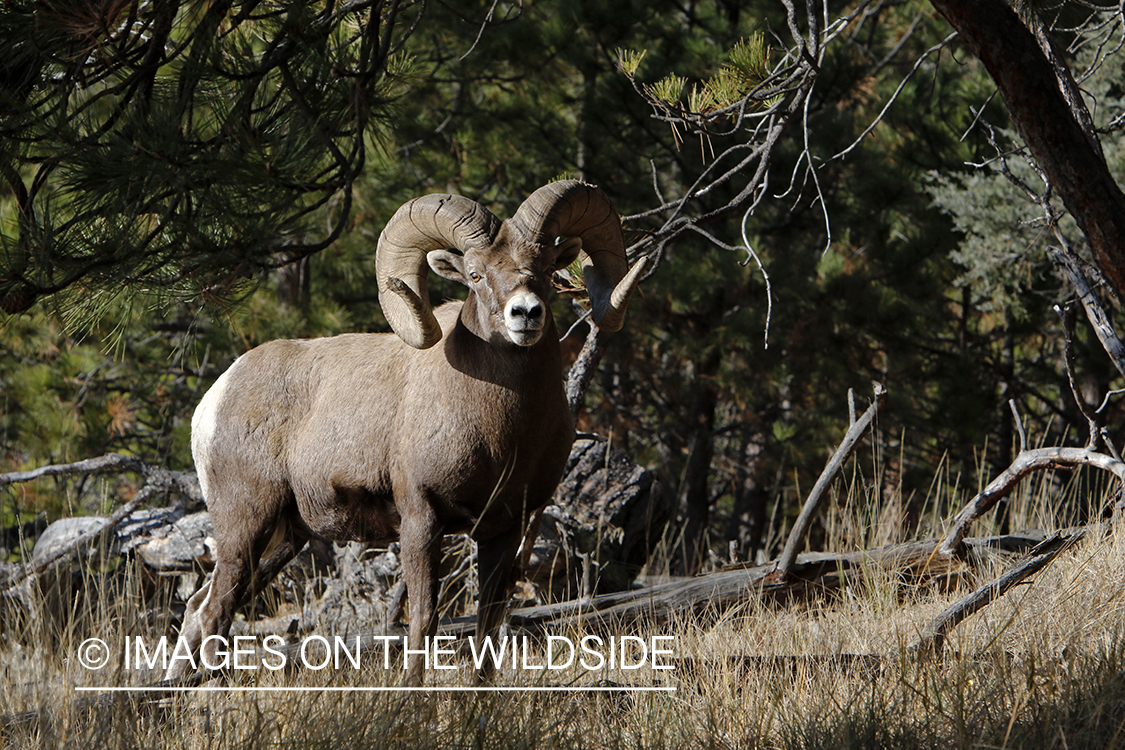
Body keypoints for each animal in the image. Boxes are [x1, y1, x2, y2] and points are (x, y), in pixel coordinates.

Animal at [166, 180, 646, 684]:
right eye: (475, 274)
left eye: (548, 268)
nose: (526, 314)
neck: (503, 435)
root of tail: (214, 400)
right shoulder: (421, 520)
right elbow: (422, 621)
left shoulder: (502, 531)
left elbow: (487, 627)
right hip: (245, 526)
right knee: (214, 612)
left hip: (285, 537)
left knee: (200, 608)